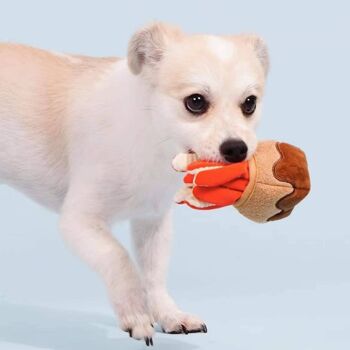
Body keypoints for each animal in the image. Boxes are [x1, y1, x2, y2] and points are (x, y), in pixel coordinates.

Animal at [0, 23, 268, 346]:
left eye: (250, 104)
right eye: (195, 102)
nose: (237, 148)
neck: (153, 138)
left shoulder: (152, 223)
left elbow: (154, 275)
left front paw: (169, 315)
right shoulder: (79, 222)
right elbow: (118, 258)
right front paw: (135, 313)